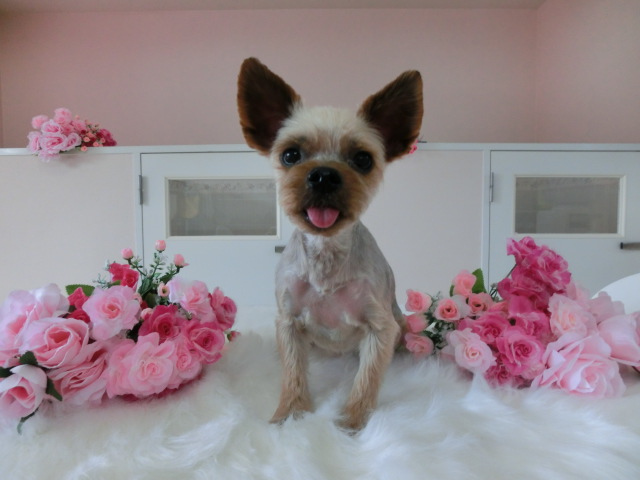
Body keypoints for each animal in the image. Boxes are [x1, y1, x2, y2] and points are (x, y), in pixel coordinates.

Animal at [237, 57, 423, 431]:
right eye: (291, 154)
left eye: (363, 159)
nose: (323, 175)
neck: (327, 254)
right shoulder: (288, 322)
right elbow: (293, 373)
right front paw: (290, 414)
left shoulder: (381, 327)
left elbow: (366, 380)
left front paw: (351, 422)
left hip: (401, 326)